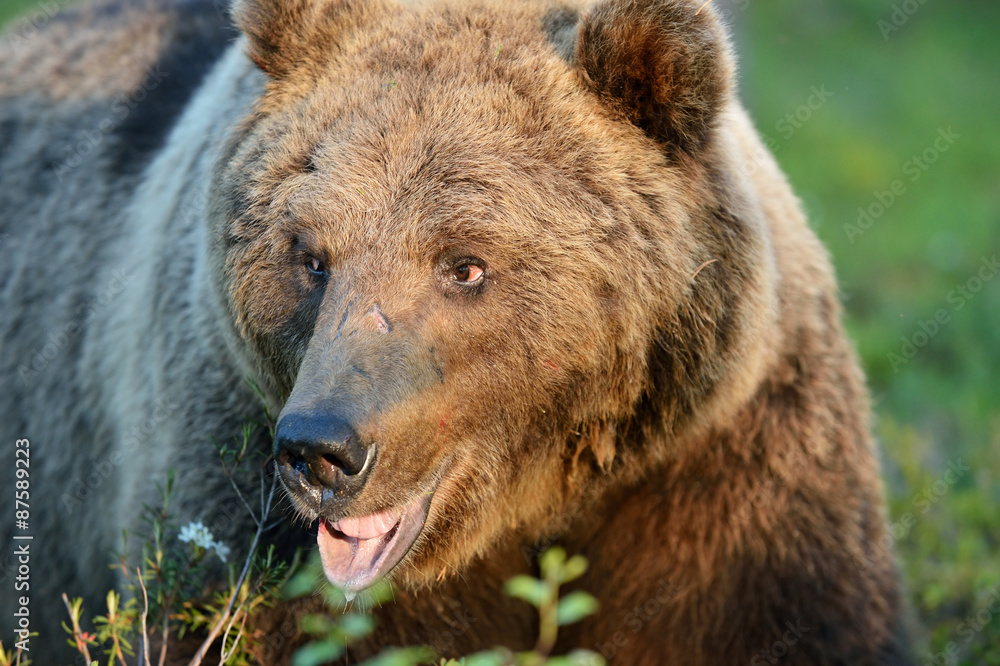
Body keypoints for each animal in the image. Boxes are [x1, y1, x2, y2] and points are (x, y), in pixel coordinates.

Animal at [0, 0, 912, 660]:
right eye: (311, 256)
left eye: (464, 264)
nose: (322, 450)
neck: (533, 501)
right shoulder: (232, 477)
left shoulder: (728, 473)